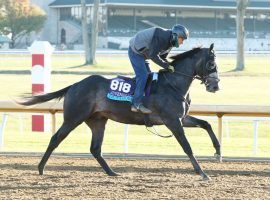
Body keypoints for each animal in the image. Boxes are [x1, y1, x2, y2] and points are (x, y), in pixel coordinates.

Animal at [17, 43, 219, 180]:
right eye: (211, 64)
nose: (215, 86)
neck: (173, 85)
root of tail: (74, 85)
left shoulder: (180, 118)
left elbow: (206, 124)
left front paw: (217, 151)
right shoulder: (172, 121)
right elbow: (187, 146)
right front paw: (202, 173)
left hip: (97, 120)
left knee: (95, 148)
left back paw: (112, 172)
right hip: (73, 118)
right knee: (55, 139)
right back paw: (41, 168)